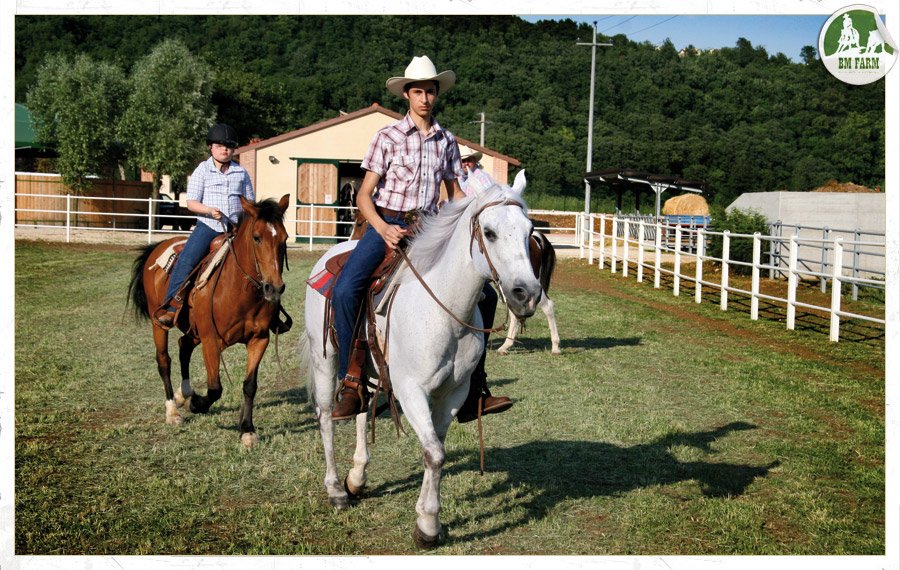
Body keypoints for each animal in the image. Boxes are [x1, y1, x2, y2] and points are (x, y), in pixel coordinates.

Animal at [127, 194, 290, 447]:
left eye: (284, 238)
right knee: (164, 361)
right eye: (256, 237)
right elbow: (214, 388)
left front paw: (247, 429)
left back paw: (182, 394)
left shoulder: (258, 339)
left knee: (184, 345)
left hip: (194, 329)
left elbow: (249, 385)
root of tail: (159, 247)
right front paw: (197, 404)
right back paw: (173, 411)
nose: (274, 288)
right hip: (160, 324)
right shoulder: (211, 339)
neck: (238, 290)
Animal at [302, 173, 542, 547]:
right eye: (489, 232)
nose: (527, 294)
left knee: (361, 409)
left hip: (372, 368)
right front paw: (428, 524)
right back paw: (336, 490)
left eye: (530, 230)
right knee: (326, 415)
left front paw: (428, 522)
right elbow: (434, 452)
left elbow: (437, 450)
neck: (444, 308)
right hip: (323, 357)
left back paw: (356, 477)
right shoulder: (411, 390)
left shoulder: (454, 393)